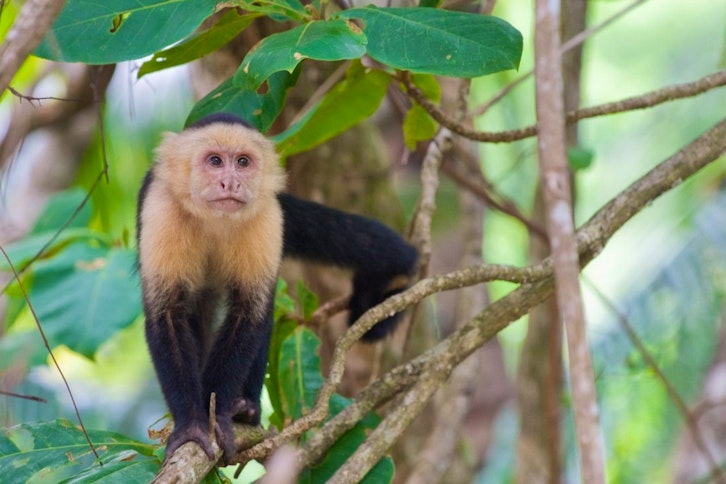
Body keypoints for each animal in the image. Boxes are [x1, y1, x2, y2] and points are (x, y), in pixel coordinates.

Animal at [136, 112, 417, 464]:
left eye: (243, 162)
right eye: (215, 161)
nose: (231, 183)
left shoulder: (268, 215)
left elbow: (249, 313)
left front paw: (220, 416)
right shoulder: (161, 208)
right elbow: (168, 317)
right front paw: (191, 426)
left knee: (262, 314)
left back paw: (245, 409)